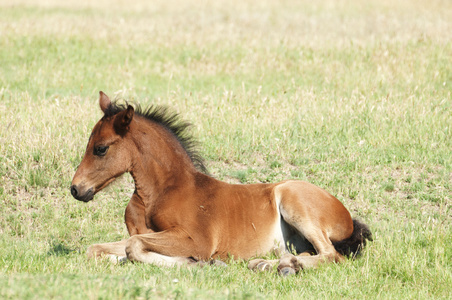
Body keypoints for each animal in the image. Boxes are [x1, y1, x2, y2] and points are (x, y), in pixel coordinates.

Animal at [70, 91, 370, 274]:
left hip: (293, 200)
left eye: (100, 148)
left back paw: (282, 264)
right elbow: (100, 249)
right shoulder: (144, 234)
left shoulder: (194, 239)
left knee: (332, 255)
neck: (159, 193)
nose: (76, 189)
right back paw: (273, 264)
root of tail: (348, 217)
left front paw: (201, 264)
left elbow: (133, 247)